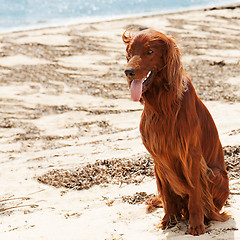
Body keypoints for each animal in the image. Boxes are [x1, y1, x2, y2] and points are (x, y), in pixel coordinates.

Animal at [123, 29, 230, 235]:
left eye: (150, 51)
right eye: (130, 52)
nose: (128, 72)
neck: (162, 103)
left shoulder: (191, 155)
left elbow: (195, 191)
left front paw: (196, 225)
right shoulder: (159, 158)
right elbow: (167, 193)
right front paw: (168, 220)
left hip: (216, 174)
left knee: (211, 206)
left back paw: (207, 217)